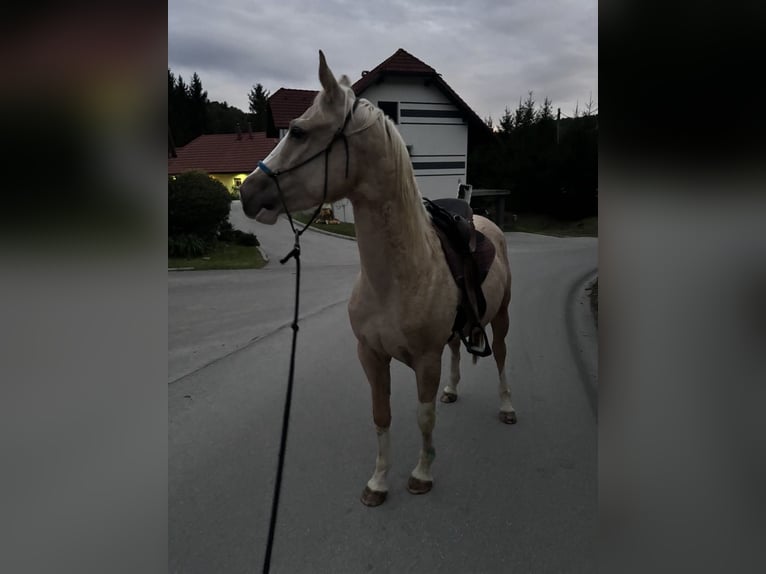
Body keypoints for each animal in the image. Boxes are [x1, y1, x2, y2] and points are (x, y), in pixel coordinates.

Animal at [239, 51, 516, 507]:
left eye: (297, 131)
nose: (247, 191)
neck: (396, 280)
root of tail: (484, 221)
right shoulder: (370, 356)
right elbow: (381, 415)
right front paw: (379, 482)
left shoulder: (425, 361)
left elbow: (424, 417)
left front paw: (421, 474)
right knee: (458, 349)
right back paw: (453, 389)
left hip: (501, 319)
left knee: (502, 358)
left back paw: (507, 406)